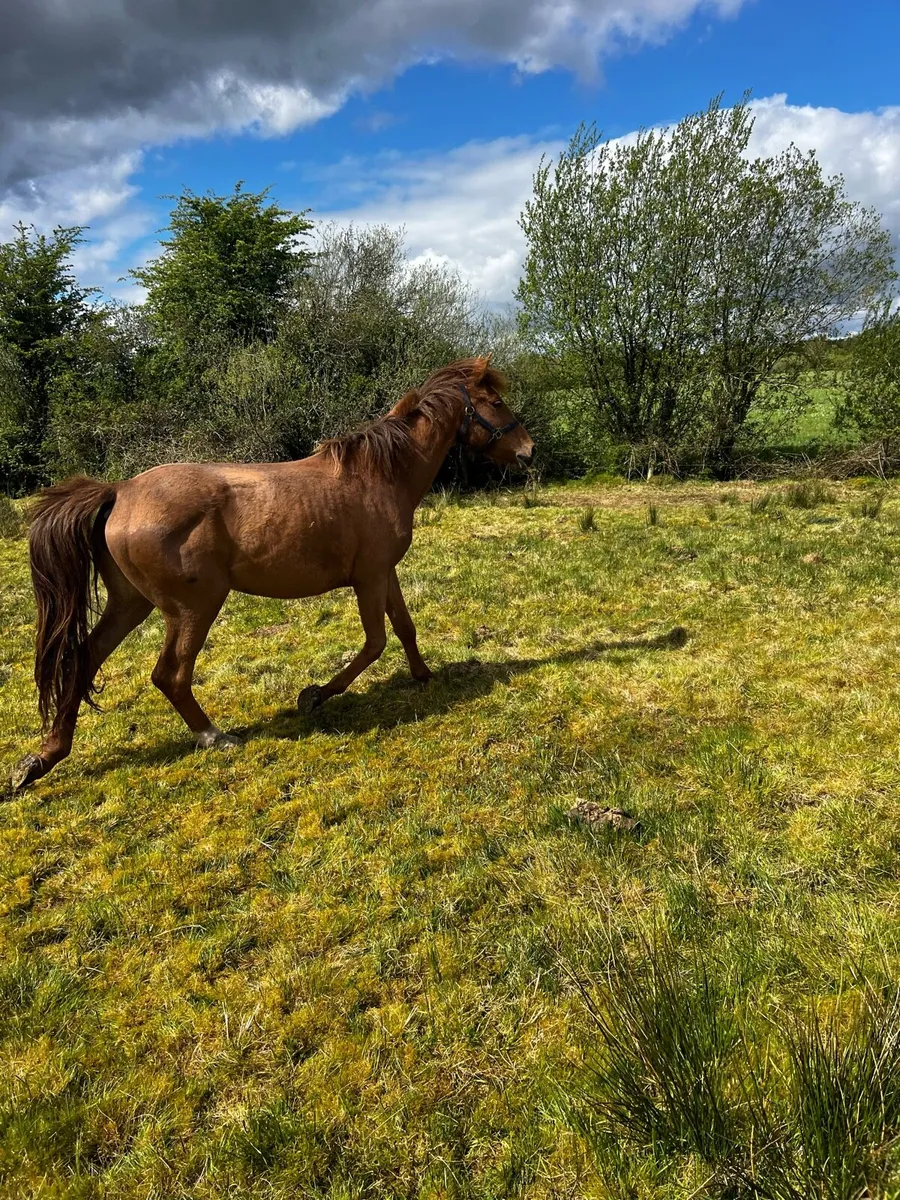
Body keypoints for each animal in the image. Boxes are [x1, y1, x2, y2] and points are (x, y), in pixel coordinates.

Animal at [11, 357, 534, 791]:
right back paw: (214, 736)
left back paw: (42, 759)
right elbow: (375, 642)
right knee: (169, 675)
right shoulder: (369, 578)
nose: (528, 451)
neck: (380, 476)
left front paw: (424, 677)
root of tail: (118, 492)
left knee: (83, 659)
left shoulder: (385, 573)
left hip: (130, 604)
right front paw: (315, 696)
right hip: (192, 608)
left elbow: (405, 628)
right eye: (495, 401)